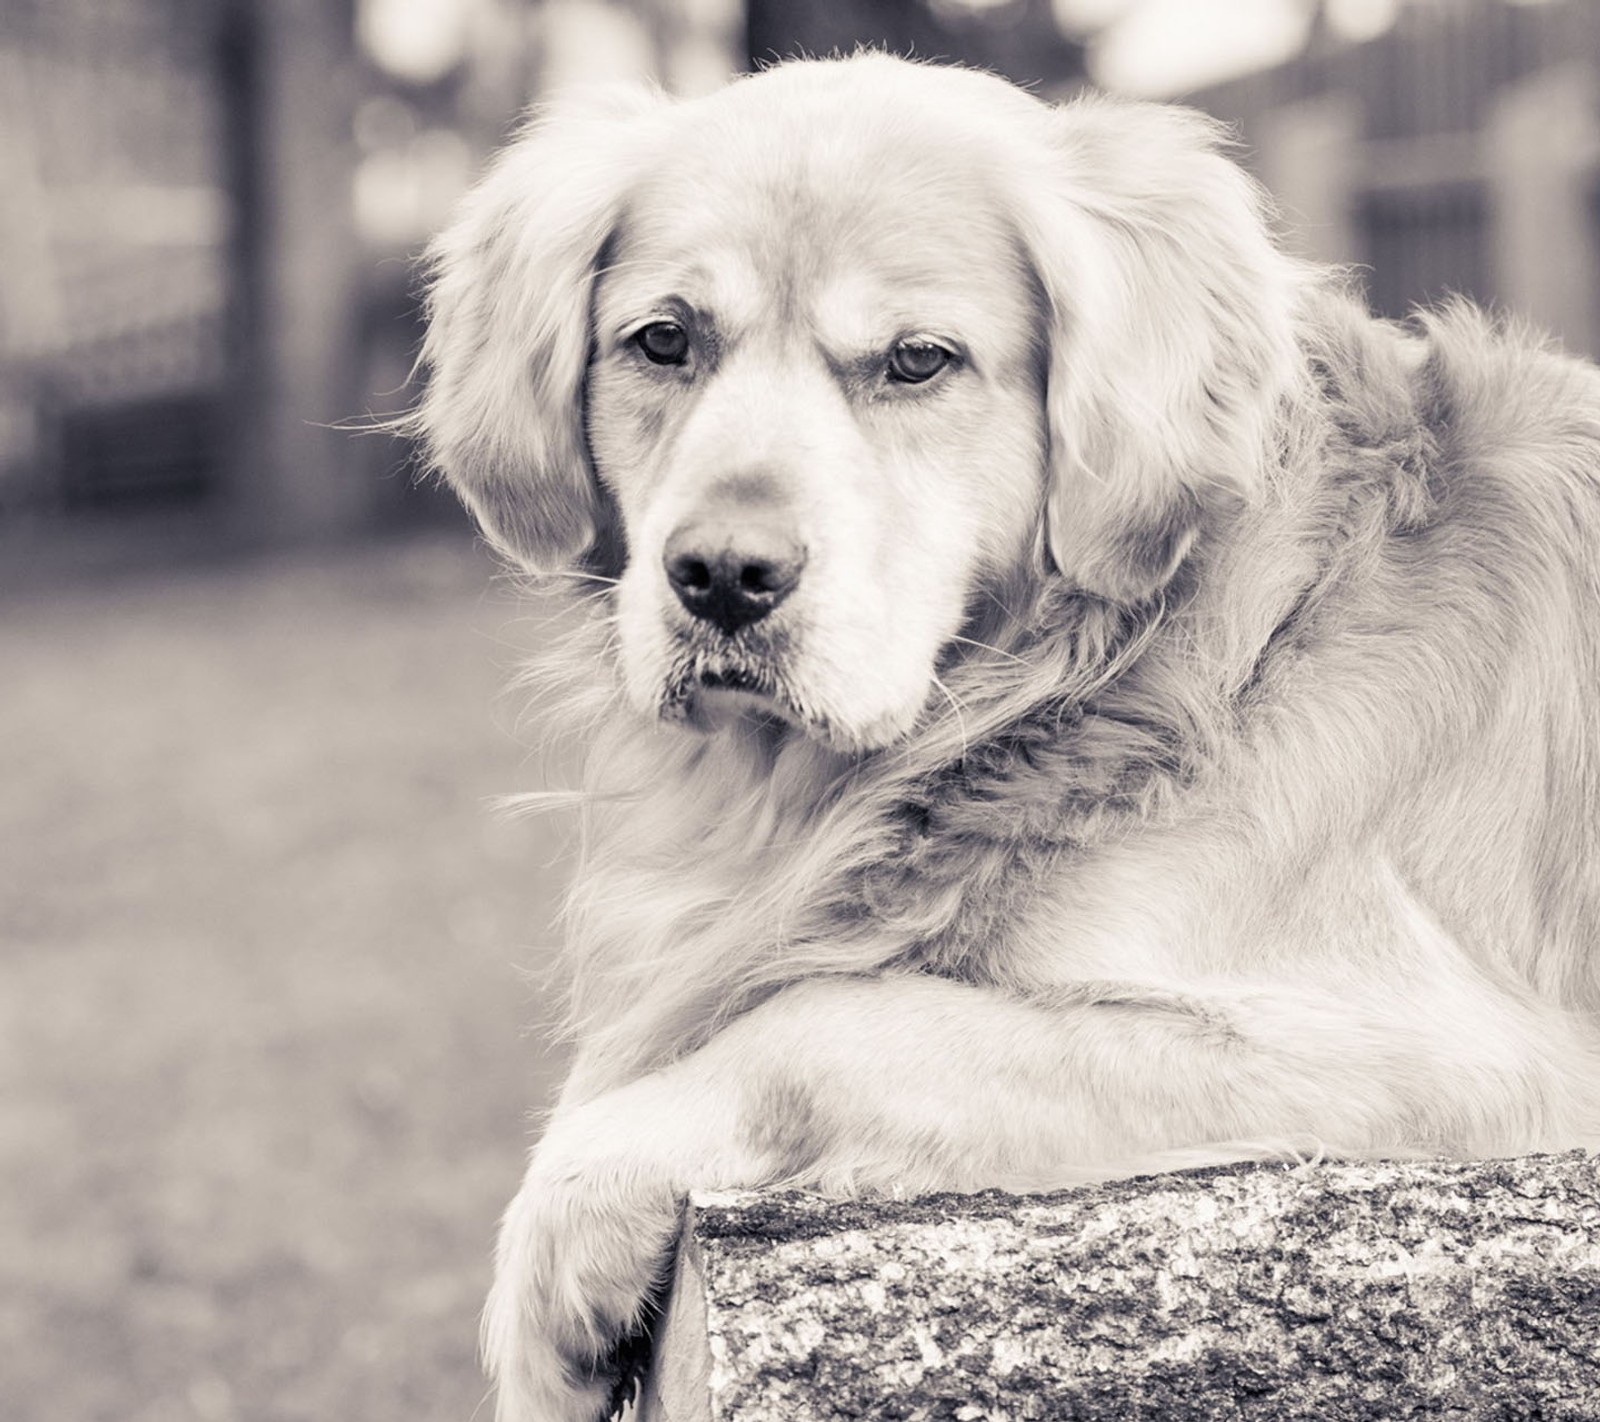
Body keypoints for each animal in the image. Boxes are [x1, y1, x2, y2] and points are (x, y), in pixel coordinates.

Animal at [416, 52, 1600, 1420]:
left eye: (919, 362)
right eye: (663, 341)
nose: (720, 576)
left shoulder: (1449, 1057)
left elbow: (823, 1019)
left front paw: (560, 1253)